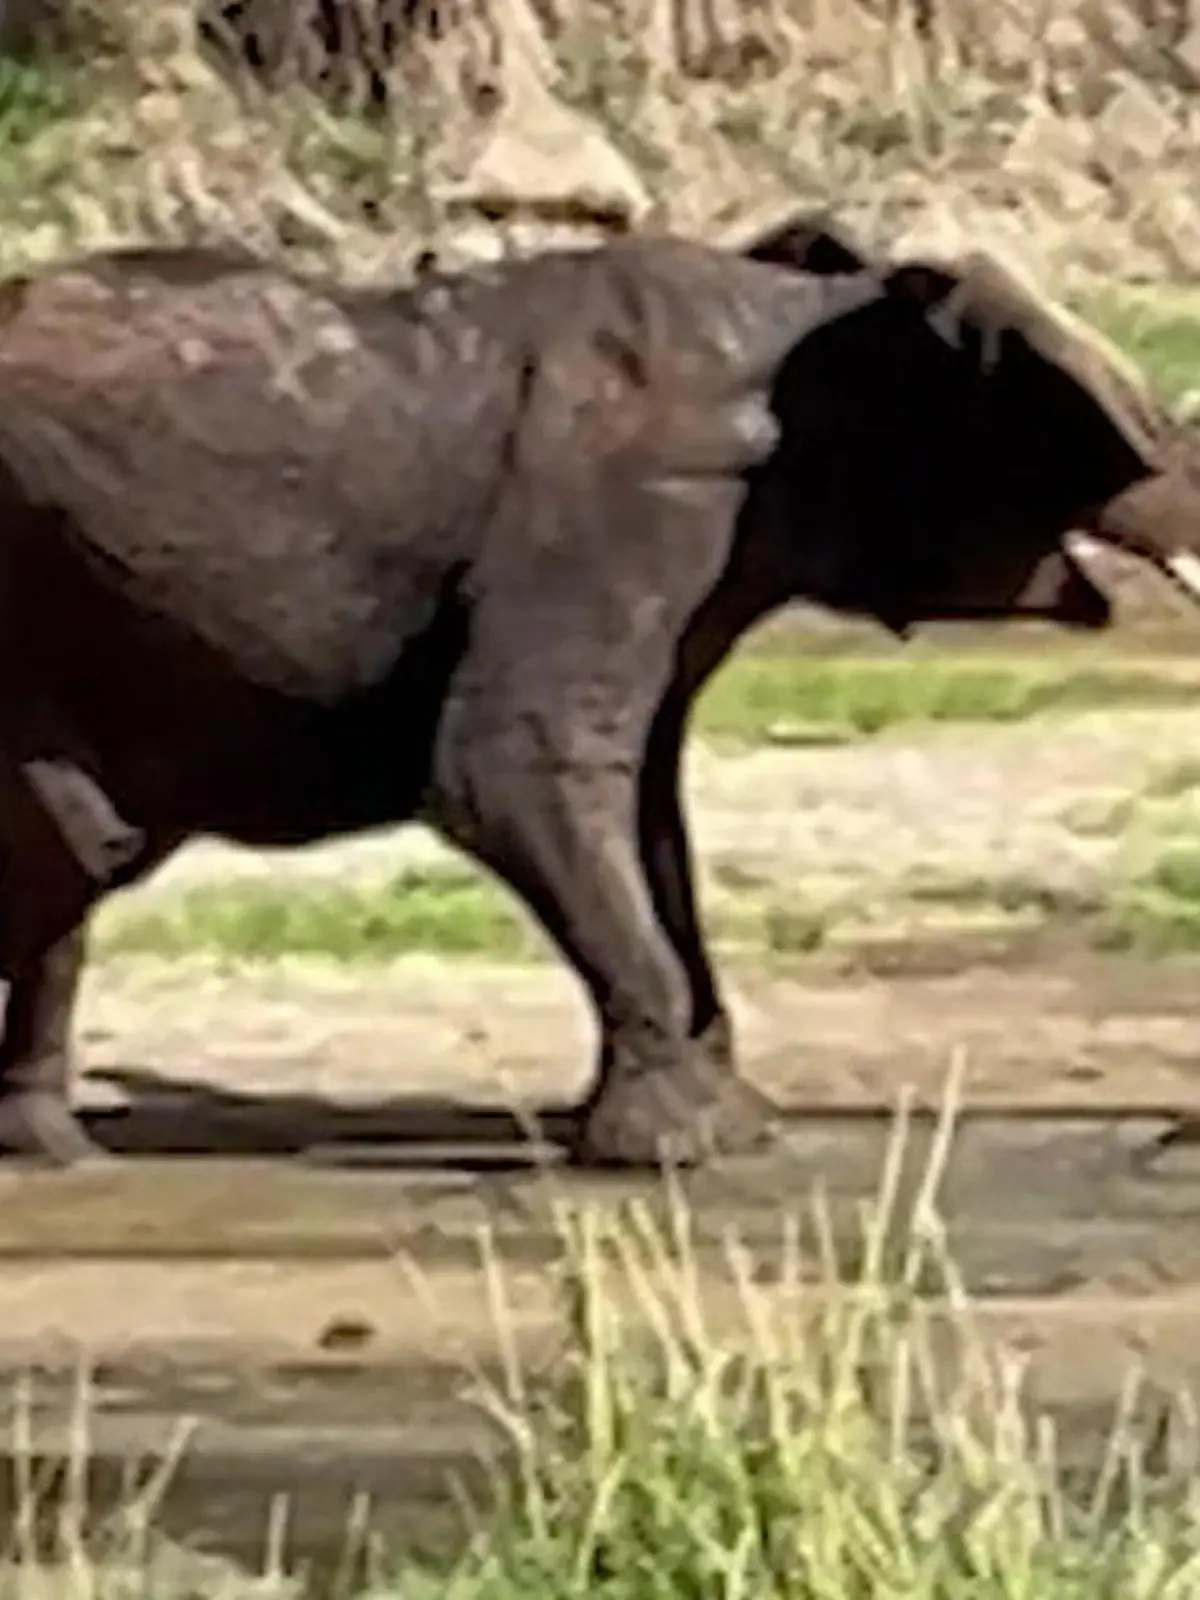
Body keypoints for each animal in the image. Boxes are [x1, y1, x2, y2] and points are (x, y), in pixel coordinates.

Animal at [0, 216, 1196, 1171]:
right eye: (1105, 430)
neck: (800, 317)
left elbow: (650, 810)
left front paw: (734, 1126)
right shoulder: (629, 507)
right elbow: (510, 768)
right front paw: (677, 1154)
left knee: (73, 857)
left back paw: (51, 1152)